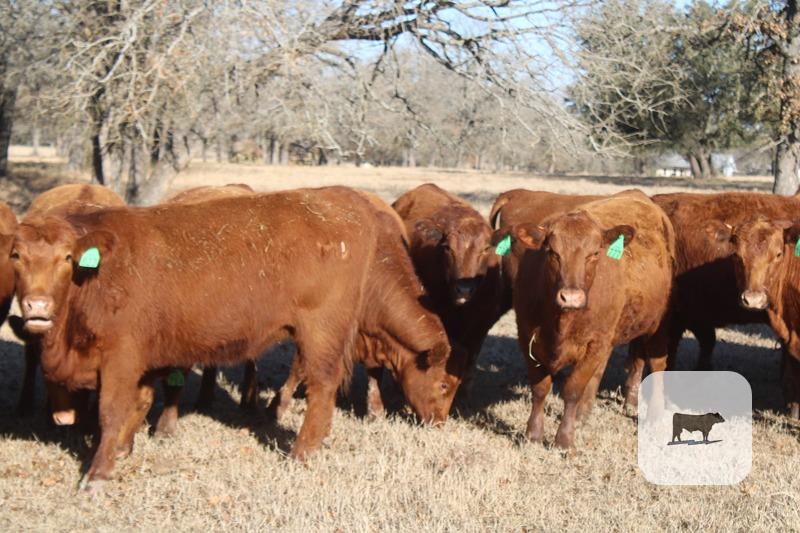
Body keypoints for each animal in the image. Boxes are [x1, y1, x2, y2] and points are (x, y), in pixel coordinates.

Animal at [495, 190, 675, 448]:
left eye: (594, 254)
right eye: (553, 253)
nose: (571, 297)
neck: (559, 323)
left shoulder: (594, 343)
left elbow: (572, 390)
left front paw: (564, 440)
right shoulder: (528, 337)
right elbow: (540, 388)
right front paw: (533, 434)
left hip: (658, 323)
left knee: (658, 363)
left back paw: (654, 415)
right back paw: (587, 413)